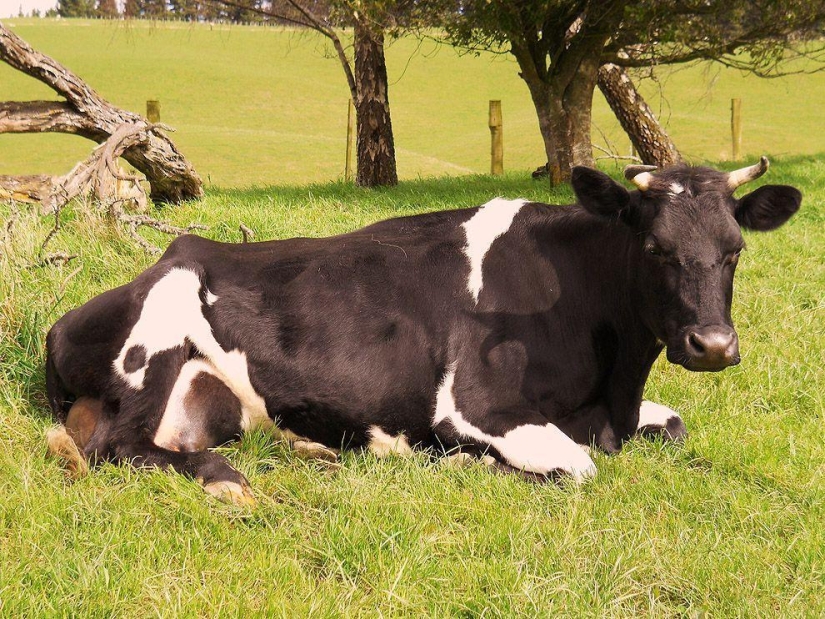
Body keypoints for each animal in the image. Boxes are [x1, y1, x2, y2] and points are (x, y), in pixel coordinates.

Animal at [43, 159, 800, 504]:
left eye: (735, 248)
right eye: (653, 246)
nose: (712, 346)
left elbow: (673, 426)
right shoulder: (474, 404)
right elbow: (577, 466)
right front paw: (467, 461)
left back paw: (309, 451)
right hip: (159, 330)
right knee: (118, 447)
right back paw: (226, 478)